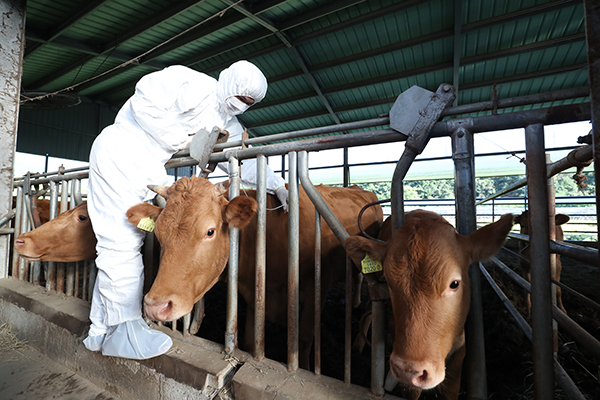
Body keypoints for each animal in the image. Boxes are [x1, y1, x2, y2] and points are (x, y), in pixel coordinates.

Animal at [125, 175, 384, 368]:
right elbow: (251, 340)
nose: (155, 306)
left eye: (210, 231)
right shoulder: (253, 293)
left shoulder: (317, 283)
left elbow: (304, 338)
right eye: (158, 232)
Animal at [344, 209, 512, 400]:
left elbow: (450, 389)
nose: (408, 371)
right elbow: (412, 391)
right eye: (387, 281)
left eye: (454, 284)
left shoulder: (461, 347)